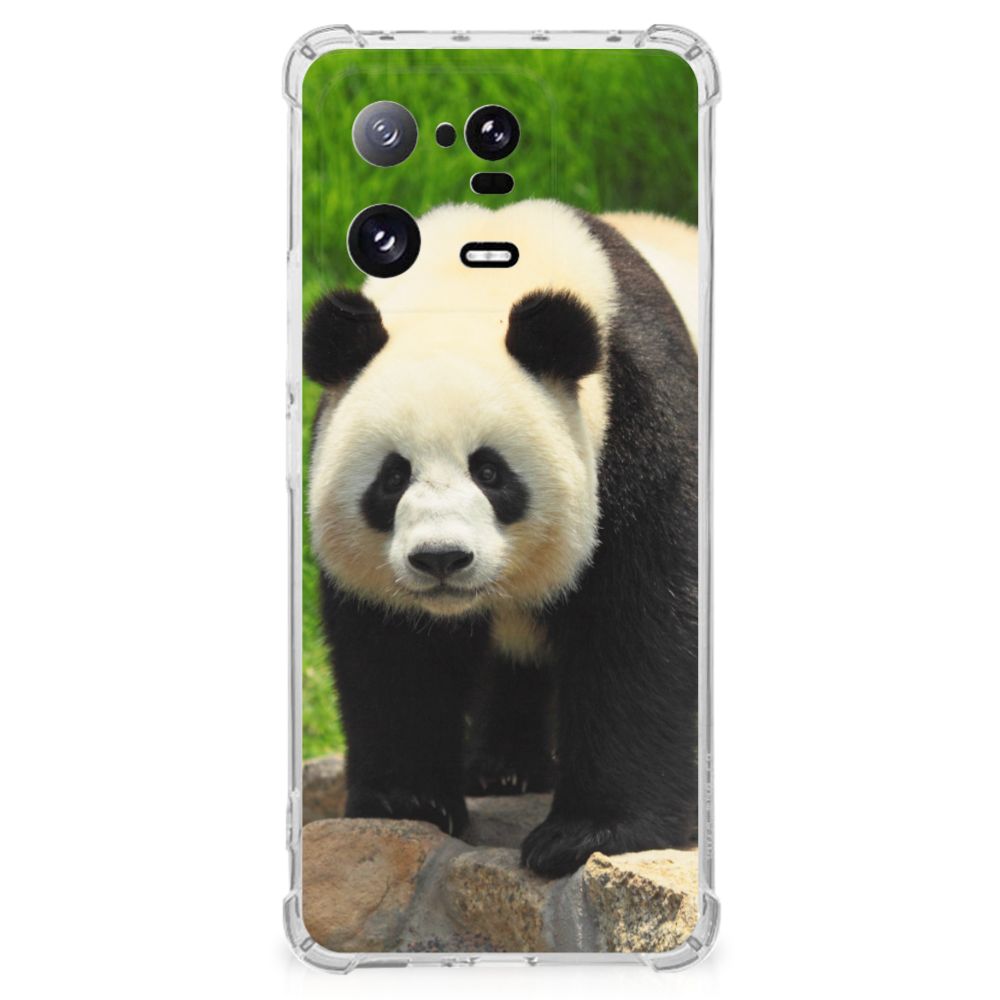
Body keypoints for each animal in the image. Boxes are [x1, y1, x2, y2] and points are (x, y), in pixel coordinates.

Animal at [304, 199, 699, 877]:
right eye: (392, 477)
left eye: (489, 472)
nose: (441, 558)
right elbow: (392, 649)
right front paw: (408, 802)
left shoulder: (640, 419)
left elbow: (642, 624)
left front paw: (587, 834)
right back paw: (503, 769)